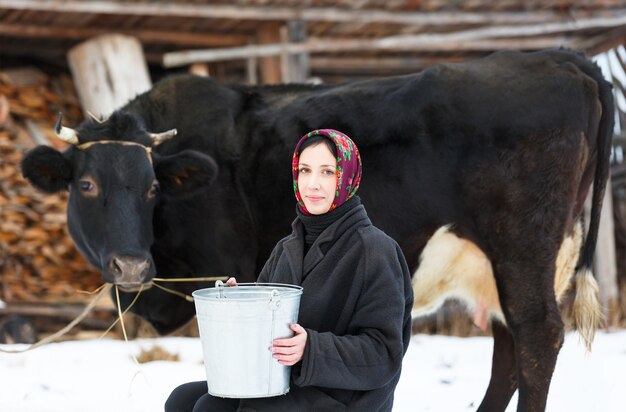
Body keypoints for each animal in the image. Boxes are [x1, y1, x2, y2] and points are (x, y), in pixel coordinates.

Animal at [20, 49, 608, 412]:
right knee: (508, 348)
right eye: (87, 184)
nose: (133, 265)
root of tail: (562, 58)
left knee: (536, 336)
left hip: (523, 247)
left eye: (151, 188)